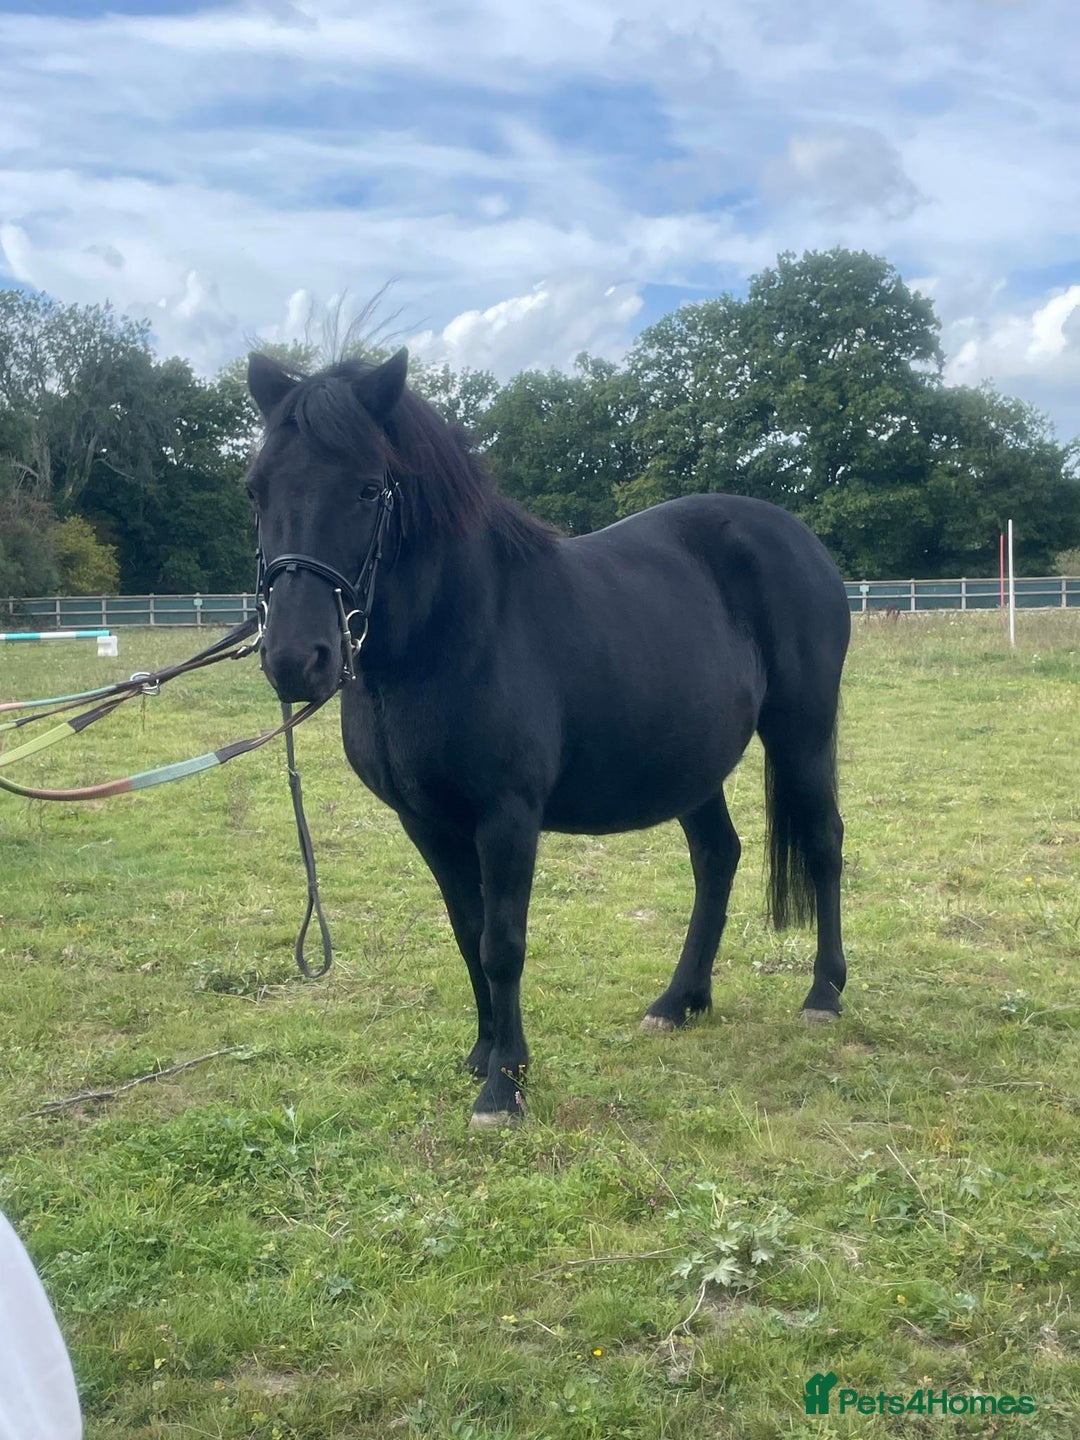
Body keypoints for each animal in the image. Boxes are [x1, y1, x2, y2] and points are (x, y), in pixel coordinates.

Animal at [245, 348, 852, 1127]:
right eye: (256, 490)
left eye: (368, 489)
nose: (296, 659)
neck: (457, 631)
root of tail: (801, 541)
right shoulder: (426, 823)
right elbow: (467, 933)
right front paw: (484, 1055)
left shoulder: (508, 816)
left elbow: (502, 942)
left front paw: (504, 1086)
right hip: (692, 762)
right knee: (717, 857)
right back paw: (678, 1001)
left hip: (802, 732)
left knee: (824, 843)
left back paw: (824, 993)